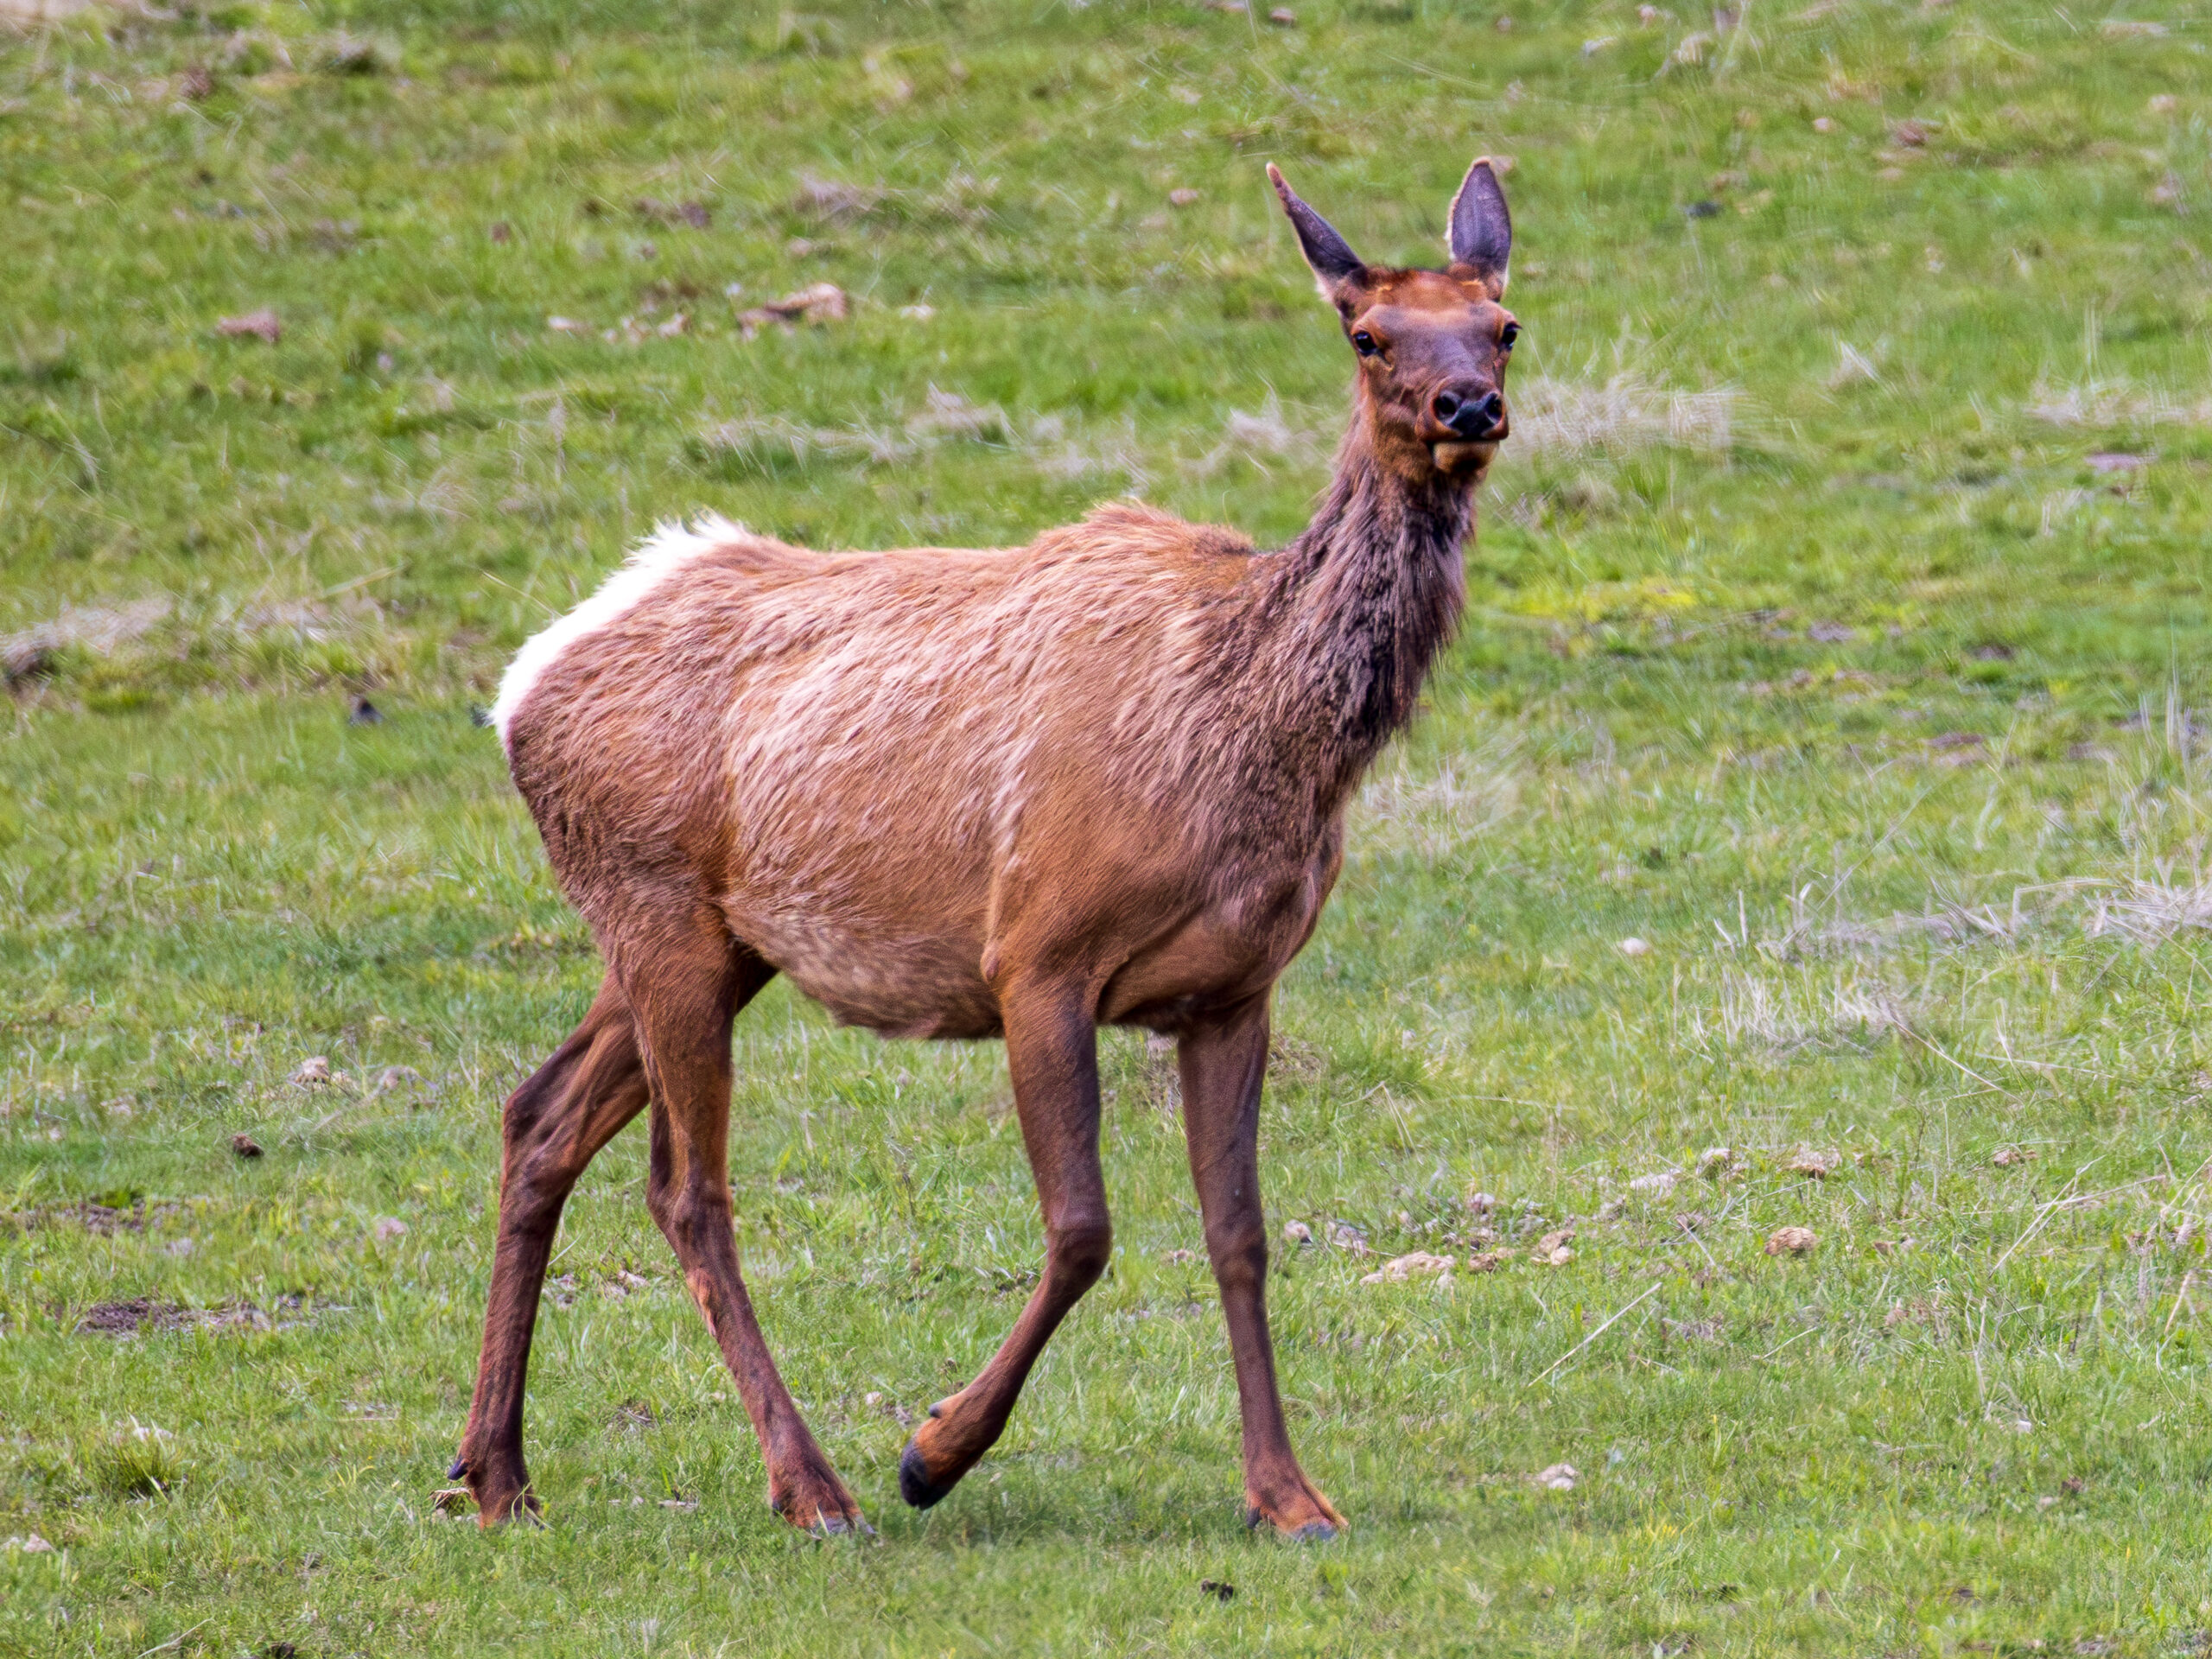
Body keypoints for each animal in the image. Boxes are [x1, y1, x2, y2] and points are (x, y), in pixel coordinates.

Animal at [451, 155, 1519, 1541]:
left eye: (1503, 322)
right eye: (1366, 332)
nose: (1470, 404)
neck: (1251, 743)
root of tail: (524, 682)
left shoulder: (1238, 987)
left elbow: (1238, 1234)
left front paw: (1288, 1495)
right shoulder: (1037, 955)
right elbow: (1081, 1229)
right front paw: (933, 1450)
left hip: (709, 939)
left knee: (538, 1118)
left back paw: (494, 1470)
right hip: (655, 908)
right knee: (685, 1189)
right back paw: (814, 1486)